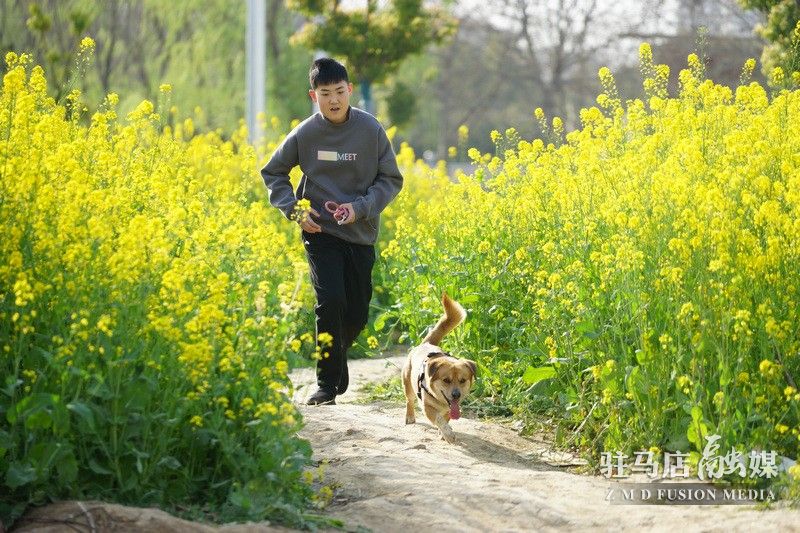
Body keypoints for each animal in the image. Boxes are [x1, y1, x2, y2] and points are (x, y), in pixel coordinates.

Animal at [404, 294, 478, 442]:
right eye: (446, 380)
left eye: (462, 380)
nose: (456, 395)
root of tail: (426, 343)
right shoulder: (427, 407)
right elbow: (439, 419)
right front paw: (448, 434)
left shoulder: (451, 408)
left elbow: (446, 418)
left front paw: (442, 432)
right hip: (408, 385)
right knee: (409, 400)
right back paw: (409, 416)